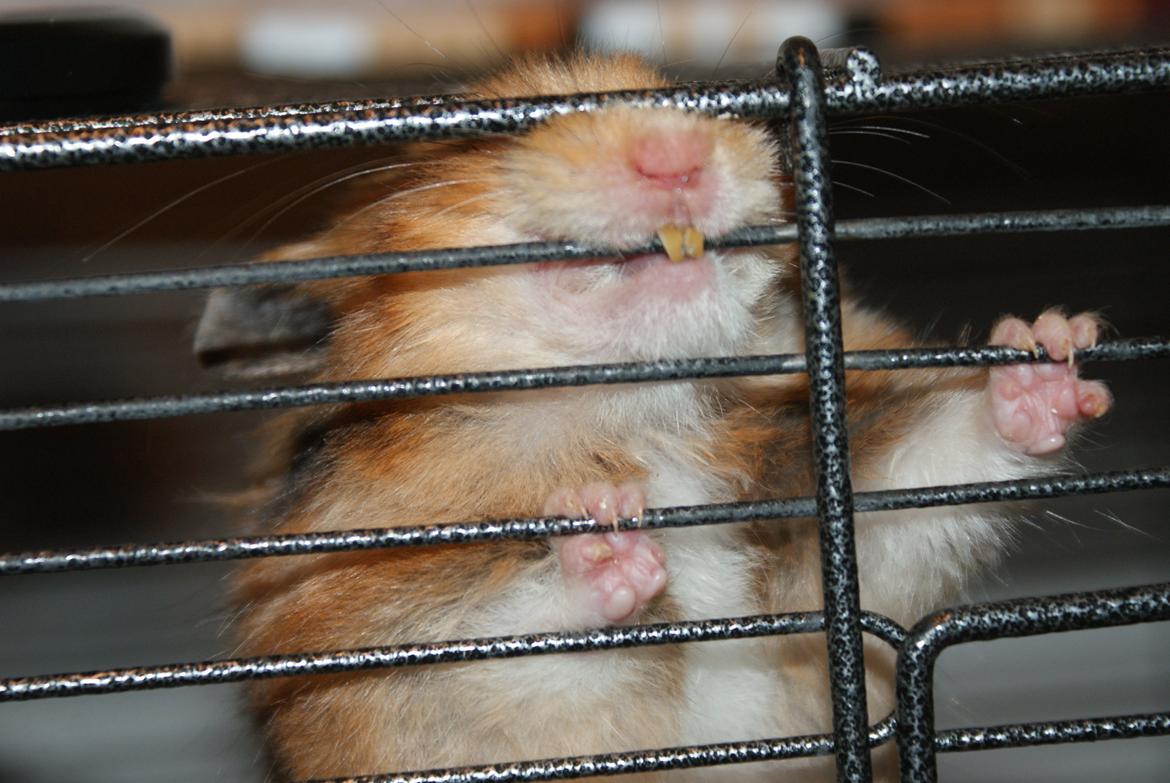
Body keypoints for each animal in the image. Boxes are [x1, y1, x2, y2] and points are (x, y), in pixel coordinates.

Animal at [227, 53, 1111, 781]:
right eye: (502, 127)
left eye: (704, 105)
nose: (675, 154)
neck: (640, 411)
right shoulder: (379, 664)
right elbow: (516, 649)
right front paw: (607, 529)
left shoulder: (853, 577)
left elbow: (932, 472)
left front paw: (1053, 350)